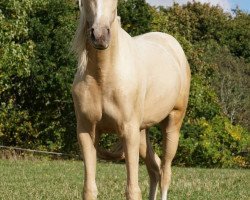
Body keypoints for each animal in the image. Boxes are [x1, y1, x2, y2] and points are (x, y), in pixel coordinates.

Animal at [71, 0, 190, 200]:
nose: (100, 36)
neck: (103, 77)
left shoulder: (128, 132)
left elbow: (133, 190)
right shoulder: (86, 132)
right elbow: (89, 189)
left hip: (172, 123)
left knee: (165, 172)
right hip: (142, 132)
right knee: (155, 169)